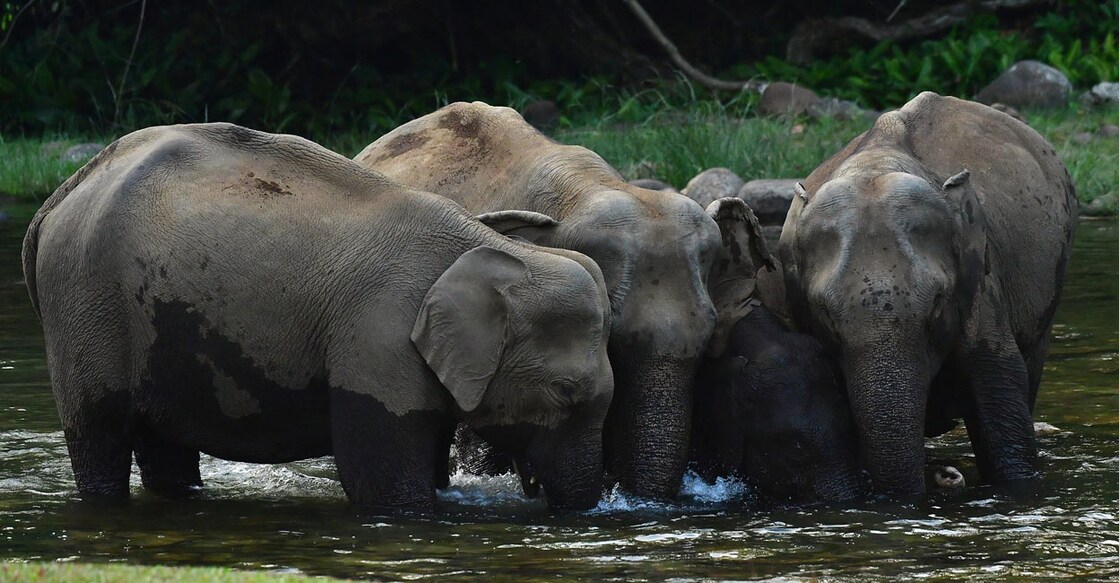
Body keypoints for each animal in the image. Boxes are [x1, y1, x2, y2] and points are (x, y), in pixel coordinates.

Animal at [22, 123, 615, 512]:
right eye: (564, 393)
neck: (485, 245)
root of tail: (57, 197)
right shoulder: (376, 341)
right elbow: (381, 480)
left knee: (165, 445)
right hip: (86, 304)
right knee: (99, 436)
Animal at [778, 92, 1077, 496]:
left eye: (937, 303)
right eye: (823, 313)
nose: (941, 477)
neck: (878, 160)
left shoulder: (979, 284)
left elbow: (1000, 393)